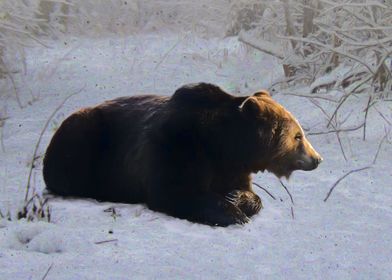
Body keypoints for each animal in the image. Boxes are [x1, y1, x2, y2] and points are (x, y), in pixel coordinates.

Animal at [43, 82, 322, 226]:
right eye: (298, 136)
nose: (317, 158)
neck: (225, 145)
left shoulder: (232, 168)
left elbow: (249, 193)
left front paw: (236, 198)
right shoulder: (178, 146)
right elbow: (175, 191)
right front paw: (232, 213)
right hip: (84, 140)